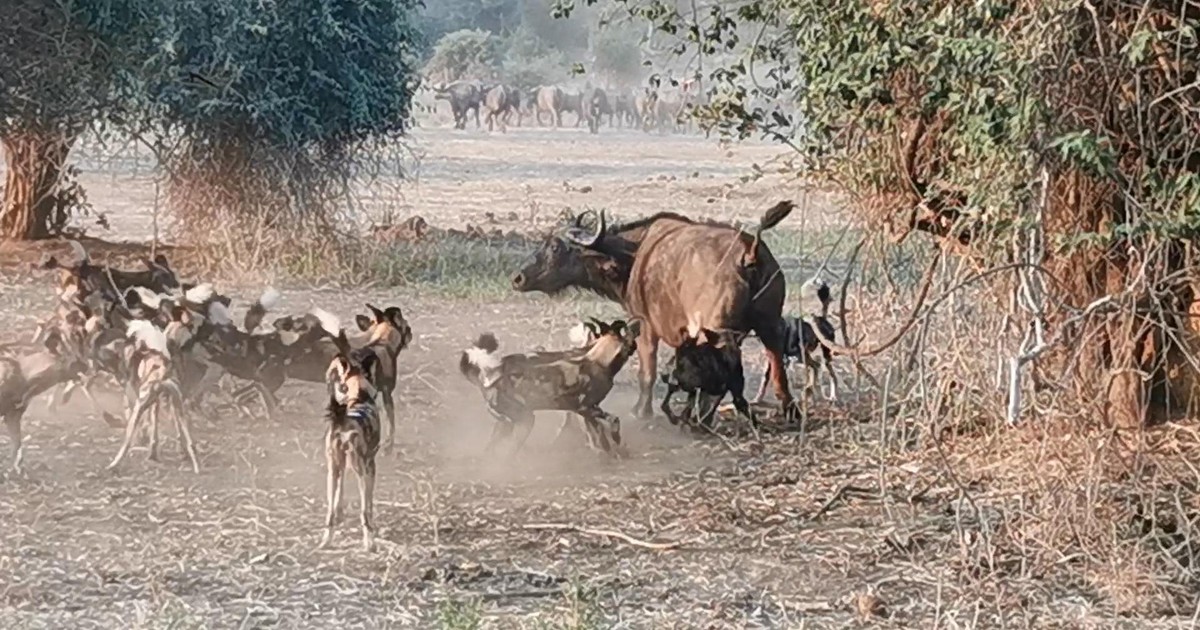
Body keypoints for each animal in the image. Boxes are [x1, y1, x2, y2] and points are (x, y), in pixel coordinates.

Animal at [513, 201, 801, 417]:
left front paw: (642, 412)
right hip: (770, 324)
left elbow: (647, 372)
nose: (518, 278)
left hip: (716, 331)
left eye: (555, 247)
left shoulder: (645, 326)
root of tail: (748, 253)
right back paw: (788, 409)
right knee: (777, 364)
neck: (634, 254)